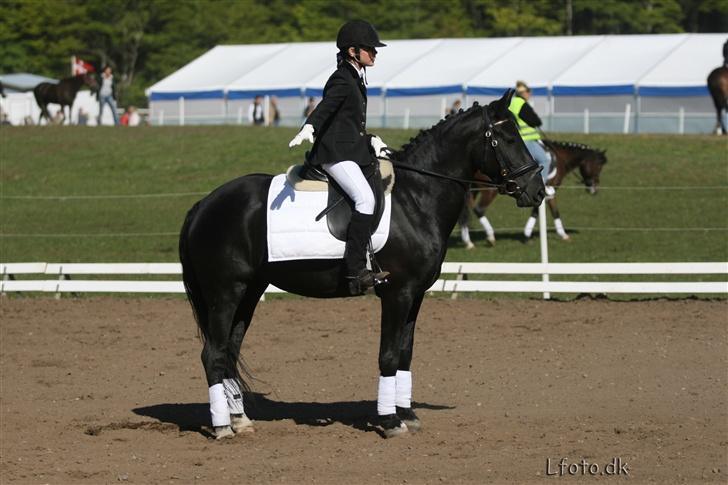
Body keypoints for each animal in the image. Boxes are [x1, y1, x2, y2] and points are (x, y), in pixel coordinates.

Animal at [179, 88, 544, 438]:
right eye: (508, 138)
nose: (537, 191)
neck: (416, 198)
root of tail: (204, 204)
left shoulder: (415, 295)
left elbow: (405, 352)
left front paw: (407, 414)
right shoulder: (397, 293)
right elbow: (388, 355)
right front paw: (390, 420)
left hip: (250, 291)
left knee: (229, 351)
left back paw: (240, 420)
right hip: (225, 293)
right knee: (213, 354)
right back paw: (222, 427)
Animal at [460, 139, 608, 246]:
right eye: (598, 166)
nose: (595, 188)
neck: (560, 157)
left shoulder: (541, 193)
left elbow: (546, 212)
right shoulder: (548, 191)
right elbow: (548, 212)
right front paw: (529, 235)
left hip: (473, 189)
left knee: (467, 210)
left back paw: (468, 241)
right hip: (489, 190)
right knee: (479, 209)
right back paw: (490, 237)